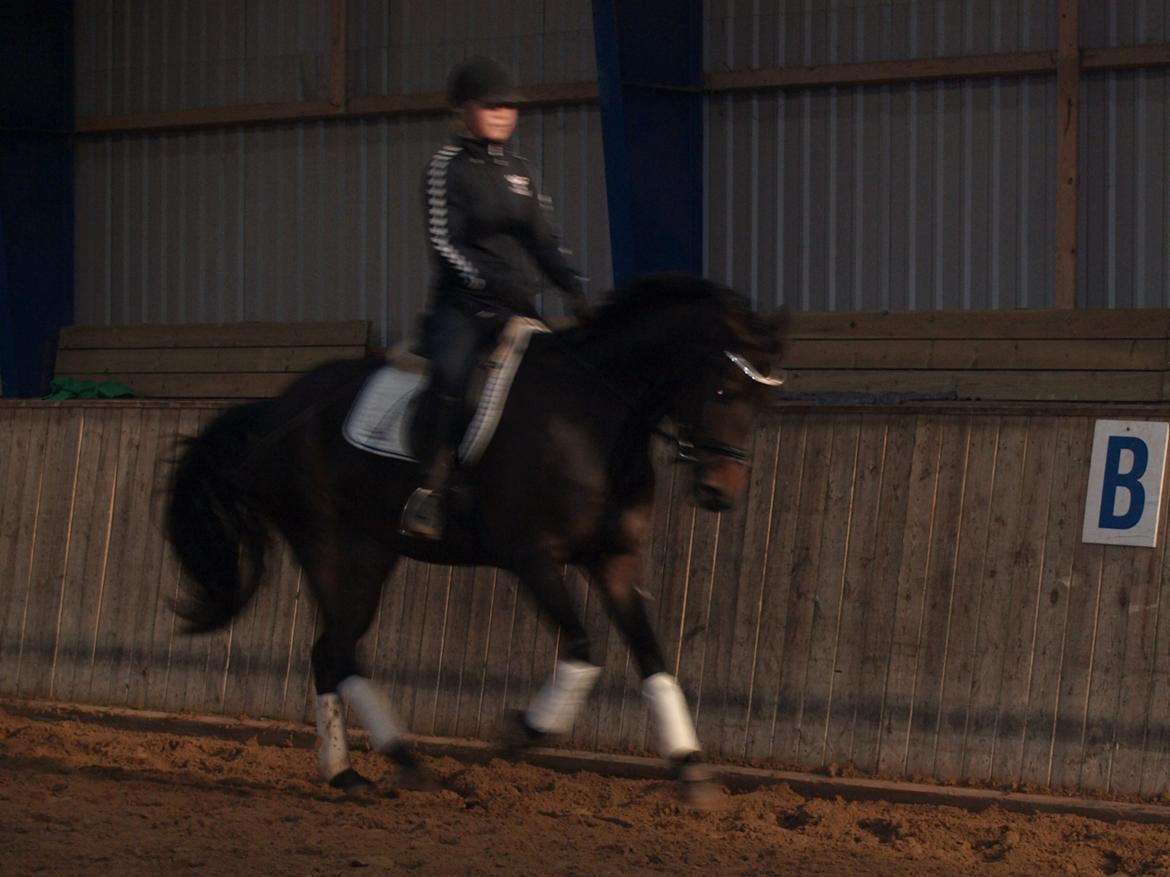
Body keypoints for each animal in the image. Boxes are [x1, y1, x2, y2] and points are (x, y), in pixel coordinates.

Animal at [167, 273, 786, 804]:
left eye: (764, 402)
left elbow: (653, 655)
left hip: (371, 551)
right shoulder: (533, 557)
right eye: (724, 389)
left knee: (332, 651)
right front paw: (523, 730)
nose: (719, 493)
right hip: (327, 544)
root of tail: (276, 408)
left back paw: (356, 773)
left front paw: (692, 771)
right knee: (336, 649)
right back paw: (386, 765)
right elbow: (582, 647)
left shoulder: (615, 560)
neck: (595, 420)